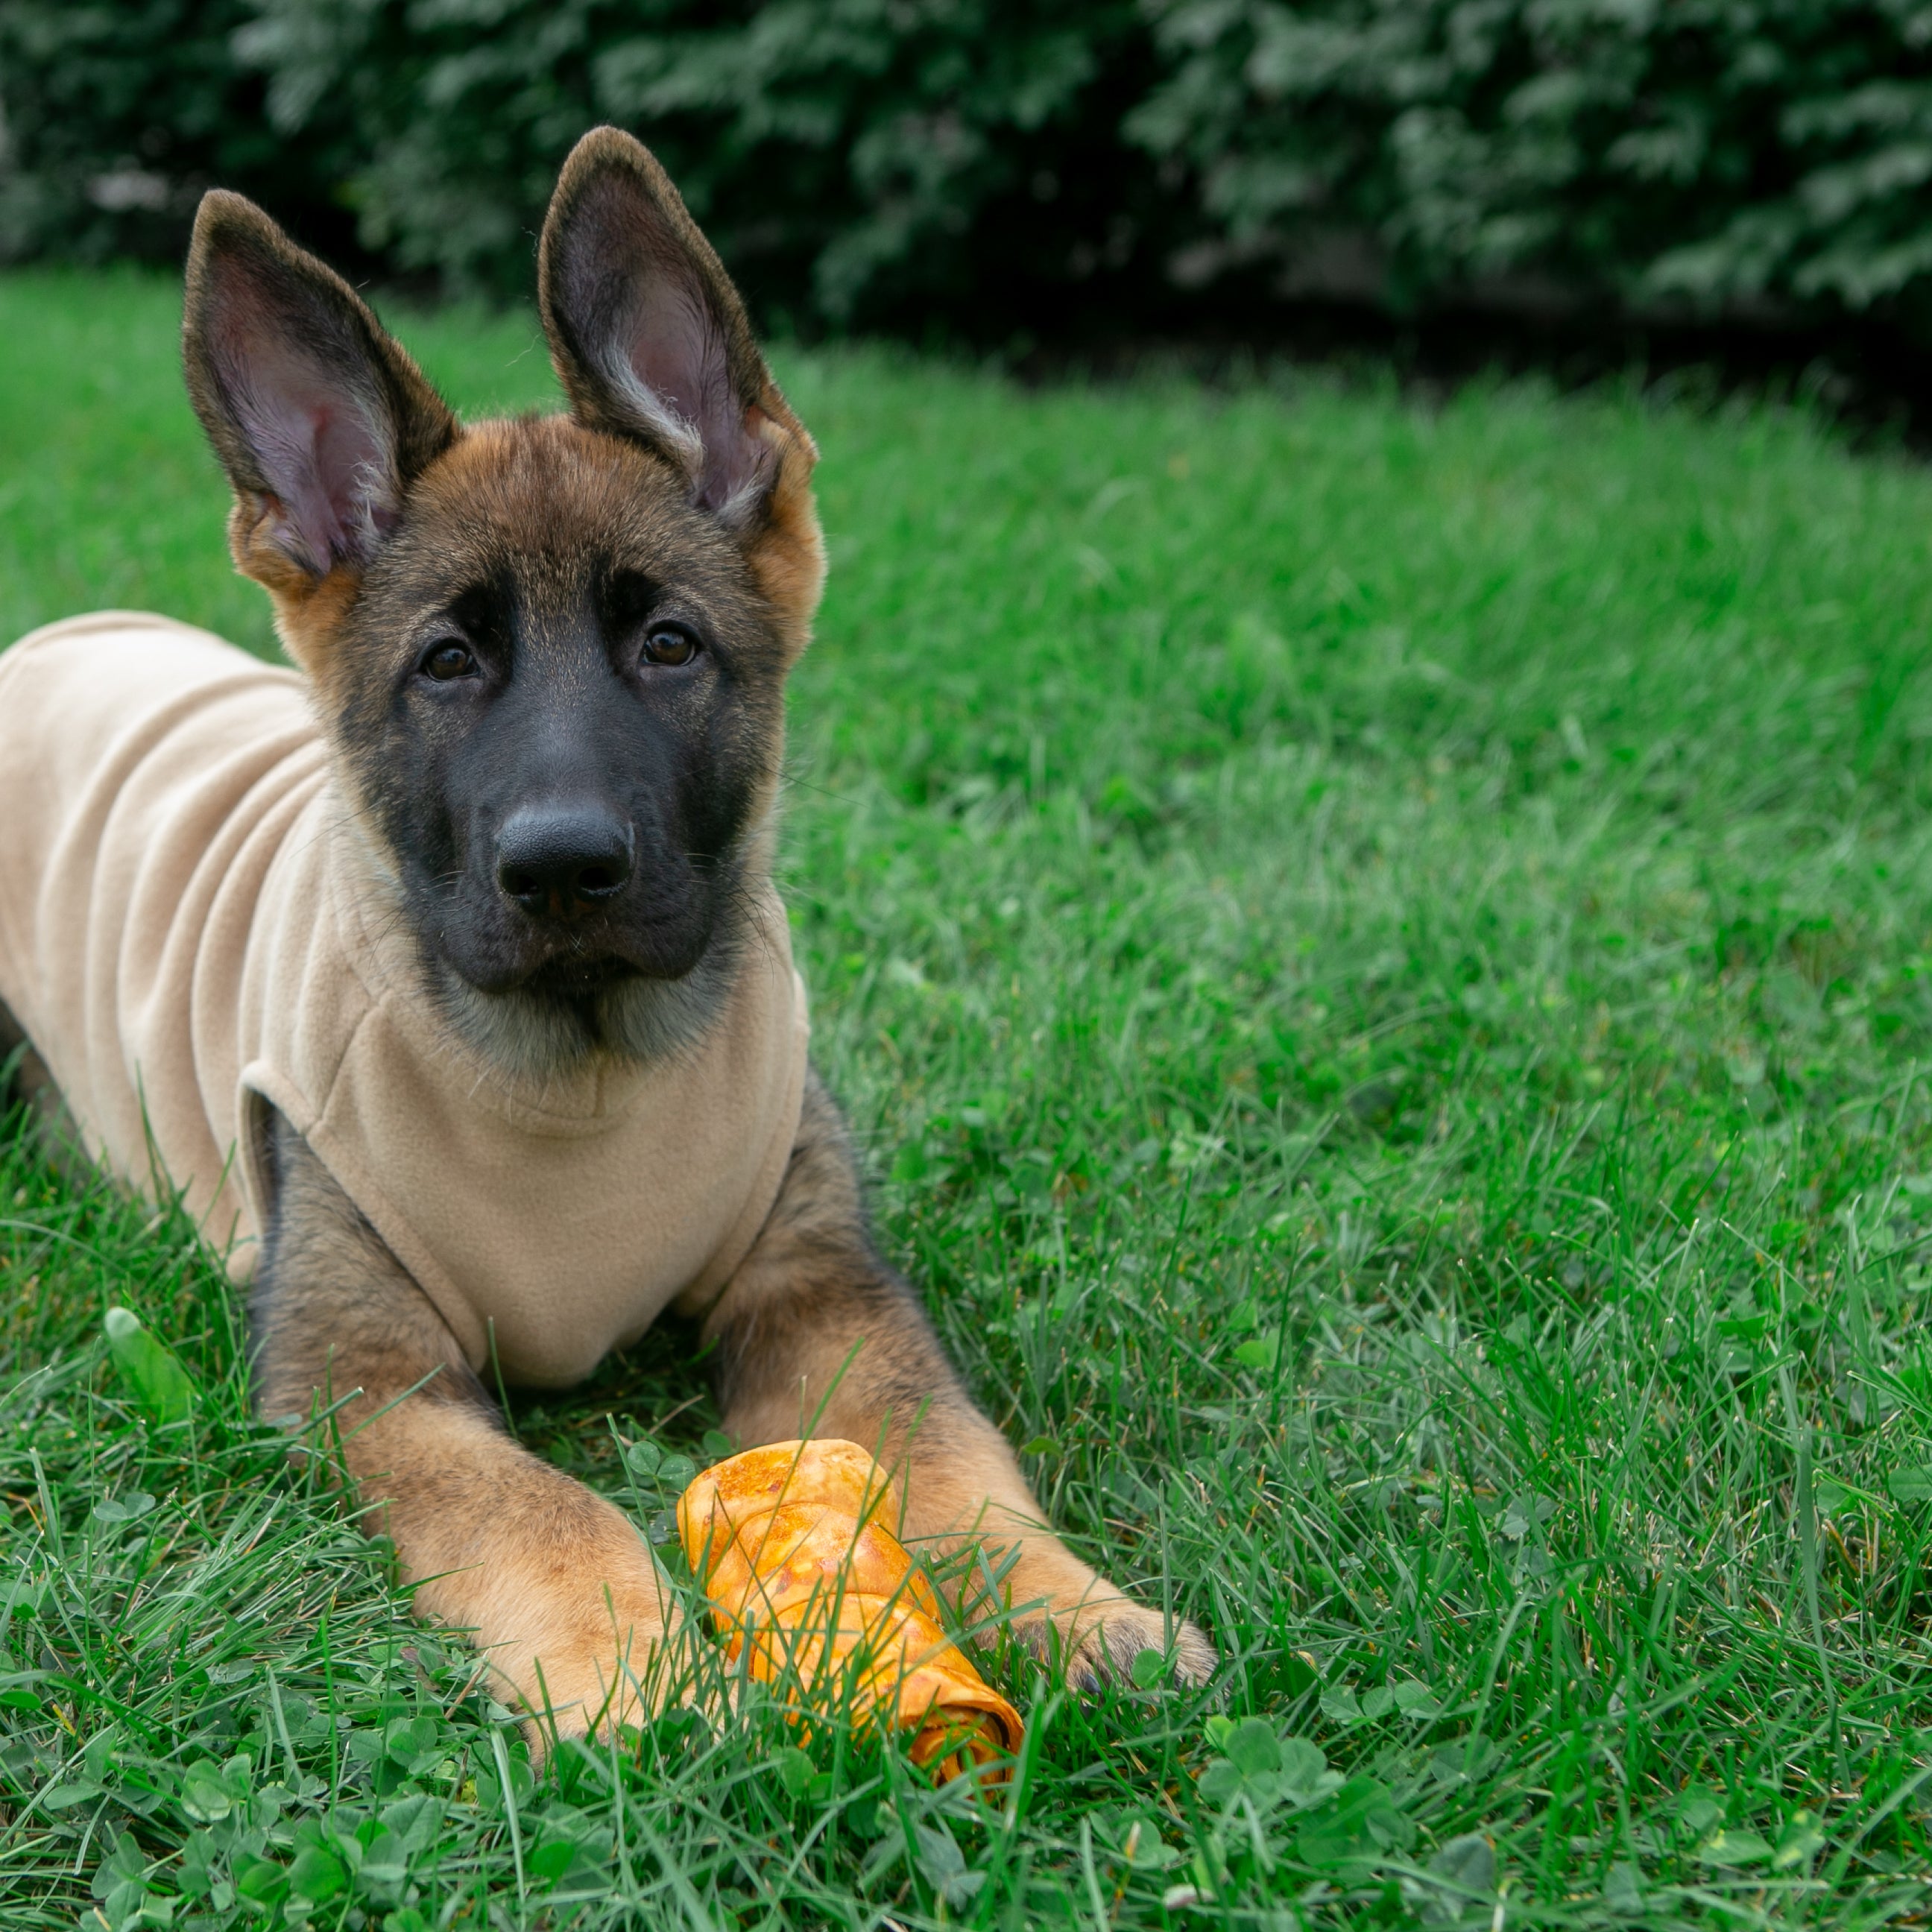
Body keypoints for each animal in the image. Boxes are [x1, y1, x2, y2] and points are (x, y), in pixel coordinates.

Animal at [0, 128, 1205, 1746]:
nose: (563, 867)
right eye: (447, 663)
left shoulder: (824, 1300)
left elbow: (959, 1466)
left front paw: (1081, 1614)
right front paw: (644, 1681)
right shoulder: (369, 1380)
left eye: (670, 646)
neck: (582, 1075)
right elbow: (551, 1510)